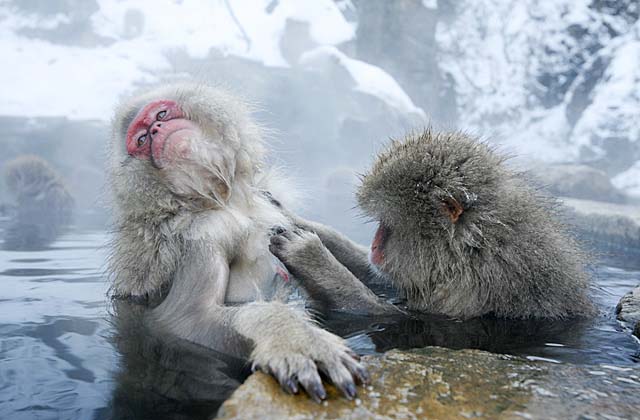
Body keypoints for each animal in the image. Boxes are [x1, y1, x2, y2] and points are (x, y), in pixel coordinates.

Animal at [107, 83, 368, 402]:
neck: (223, 199)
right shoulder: (204, 233)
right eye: (142, 140)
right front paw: (293, 336)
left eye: (161, 115)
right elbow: (186, 318)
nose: (156, 130)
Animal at [270, 130, 596, 320]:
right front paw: (291, 216)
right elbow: (380, 277)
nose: (375, 246)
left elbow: (392, 317)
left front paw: (310, 257)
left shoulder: (474, 288)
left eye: (387, 225)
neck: (473, 250)